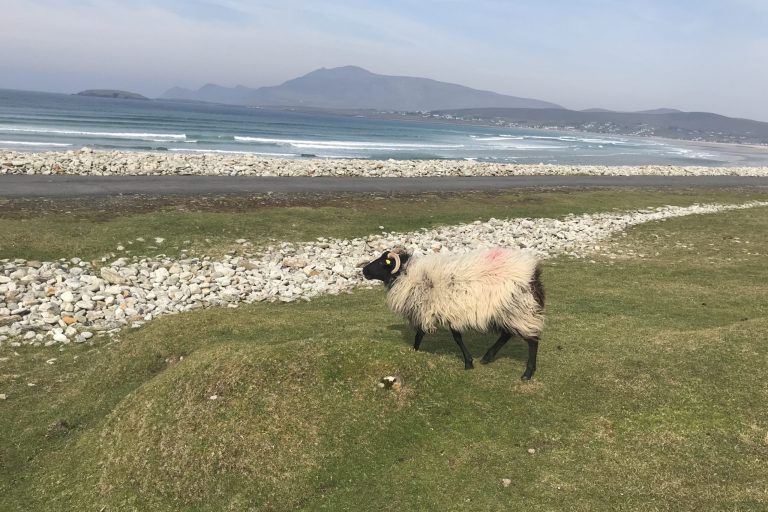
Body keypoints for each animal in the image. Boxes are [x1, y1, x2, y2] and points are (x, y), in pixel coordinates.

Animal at [362, 247, 545, 380]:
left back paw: (528, 373)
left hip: (520, 310)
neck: (407, 275)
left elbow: (442, 336)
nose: (363, 270)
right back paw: (487, 357)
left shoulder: (437, 310)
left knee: (532, 340)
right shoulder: (441, 311)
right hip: (508, 312)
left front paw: (467, 363)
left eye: (382, 262)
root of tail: (532, 275)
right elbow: (434, 335)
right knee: (507, 334)